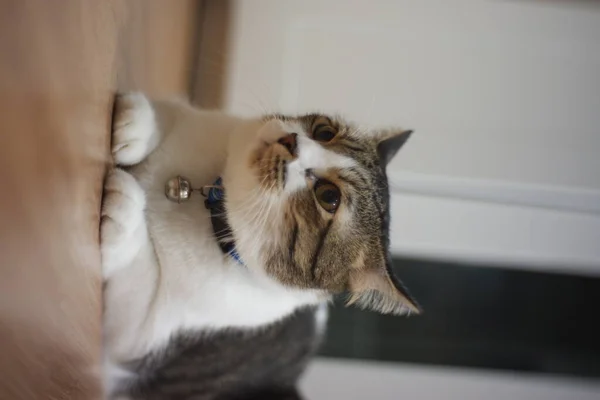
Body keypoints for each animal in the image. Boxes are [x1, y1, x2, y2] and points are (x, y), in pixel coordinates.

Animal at [102, 92, 422, 398]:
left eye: (329, 196)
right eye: (325, 131)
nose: (291, 140)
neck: (206, 197)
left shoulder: (142, 334)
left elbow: (135, 283)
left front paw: (123, 207)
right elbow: (169, 110)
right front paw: (134, 123)